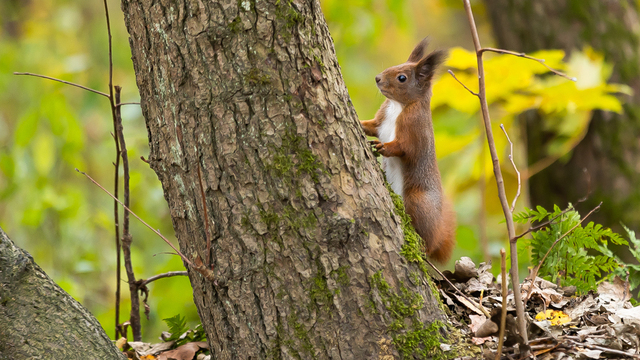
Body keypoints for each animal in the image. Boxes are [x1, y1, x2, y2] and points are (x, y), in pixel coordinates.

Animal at [360, 39, 456, 262]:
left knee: (428, 242)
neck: (398, 105)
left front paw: (383, 146)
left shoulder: (415, 130)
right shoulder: (381, 120)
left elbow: (404, 148)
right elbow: (371, 126)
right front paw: (359, 123)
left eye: (402, 78)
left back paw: (424, 246)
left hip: (418, 201)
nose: (377, 78)